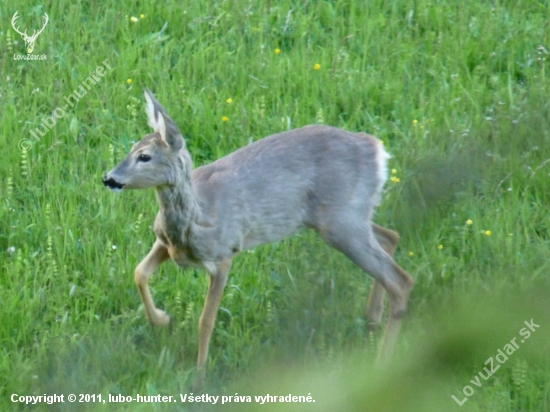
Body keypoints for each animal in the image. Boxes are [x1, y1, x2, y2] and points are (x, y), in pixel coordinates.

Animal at [102, 90, 414, 386]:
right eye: (131, 148)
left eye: (144, 156)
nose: (108, 178)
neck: (195, 220)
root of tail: (378, 151)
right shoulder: (164, 243)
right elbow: (139, 272)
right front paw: (162, 319)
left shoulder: (224, 253)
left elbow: (206, 320)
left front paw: (198, 379)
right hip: (343, 219)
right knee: (391, 237)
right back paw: (372, 319)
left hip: (342, 223)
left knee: (401, 279)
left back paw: (382, 363)